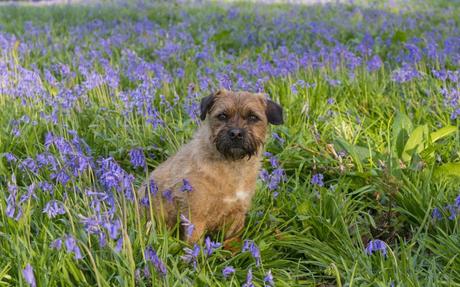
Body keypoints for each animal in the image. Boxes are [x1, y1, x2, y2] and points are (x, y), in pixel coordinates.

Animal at [139, 89, 284, 244]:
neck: (231, 166)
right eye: (222, 116)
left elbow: (232, 241)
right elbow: (194, 244)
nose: (236, 133)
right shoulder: (196, 216)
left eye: (253, 117)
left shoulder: (236, 215)